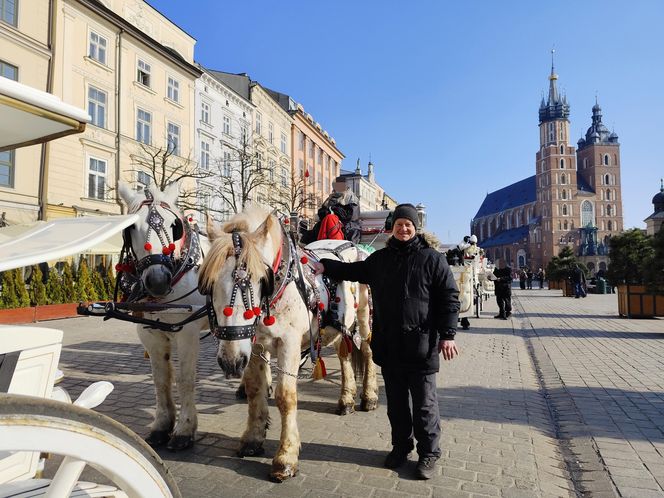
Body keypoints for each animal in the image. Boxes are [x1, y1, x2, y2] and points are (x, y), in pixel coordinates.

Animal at [116, 182, 209, 452]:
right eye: (130, 227)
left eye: (174, 225)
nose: (157, 281)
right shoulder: (150, 333)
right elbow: (161, 379)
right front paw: (162, 425)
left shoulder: (188, 332)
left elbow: (185, 379)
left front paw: (185, 429)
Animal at [197, 207, 376, 482]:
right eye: (208, 284)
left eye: (261, 280)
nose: (230, 362)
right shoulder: (254, 346)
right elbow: (255, 390)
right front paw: (253, 438)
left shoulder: (289, 344)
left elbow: (286, 397)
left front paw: (286, 457)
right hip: (338, 326)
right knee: (344, 356)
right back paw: (346, 400)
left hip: (365, 318)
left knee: (367, 353)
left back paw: (369, 396)